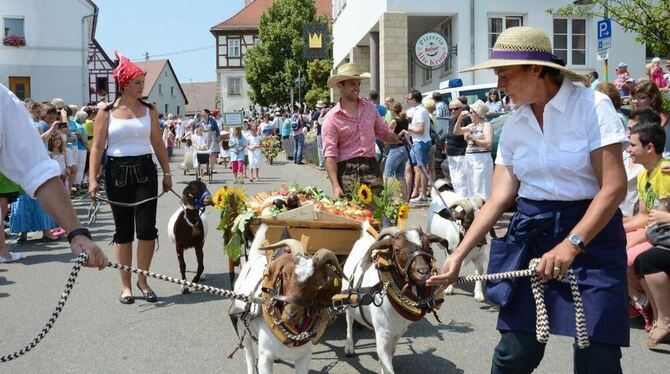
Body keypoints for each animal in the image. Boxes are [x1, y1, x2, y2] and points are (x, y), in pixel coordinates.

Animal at [232, 225, 346, 374]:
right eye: (285, 274)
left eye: (317, 284)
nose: (291, 314)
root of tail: (255, 256)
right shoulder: (265, 358)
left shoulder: (304, 357)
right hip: (242, 326)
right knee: (249, 354)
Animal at [344, 225, 448, 374]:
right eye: (397, 250)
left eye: (429, 247)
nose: (423, 272)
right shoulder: (383, 334)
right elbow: (386, 361)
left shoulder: (398, 332)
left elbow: (389, 355)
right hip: (347, 301)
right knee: (349, 319)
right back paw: (349, 346)